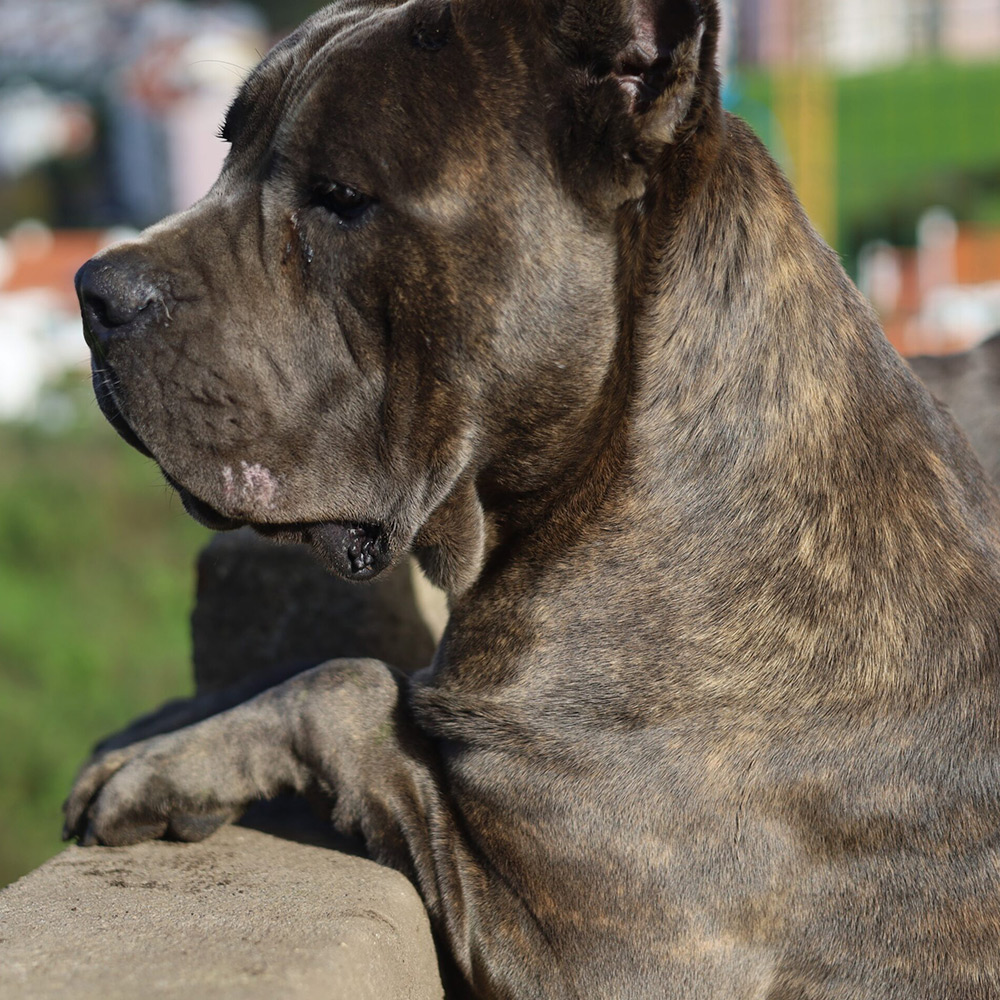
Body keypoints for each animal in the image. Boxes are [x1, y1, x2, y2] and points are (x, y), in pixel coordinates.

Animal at [66, 1, 1000, 1000]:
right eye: (228, 149)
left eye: (341, 197)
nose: (96, 289)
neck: (603, 478)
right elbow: (330, 671)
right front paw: (160, 729)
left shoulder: (597, 952)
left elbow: (346, 685)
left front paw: (160, 770)